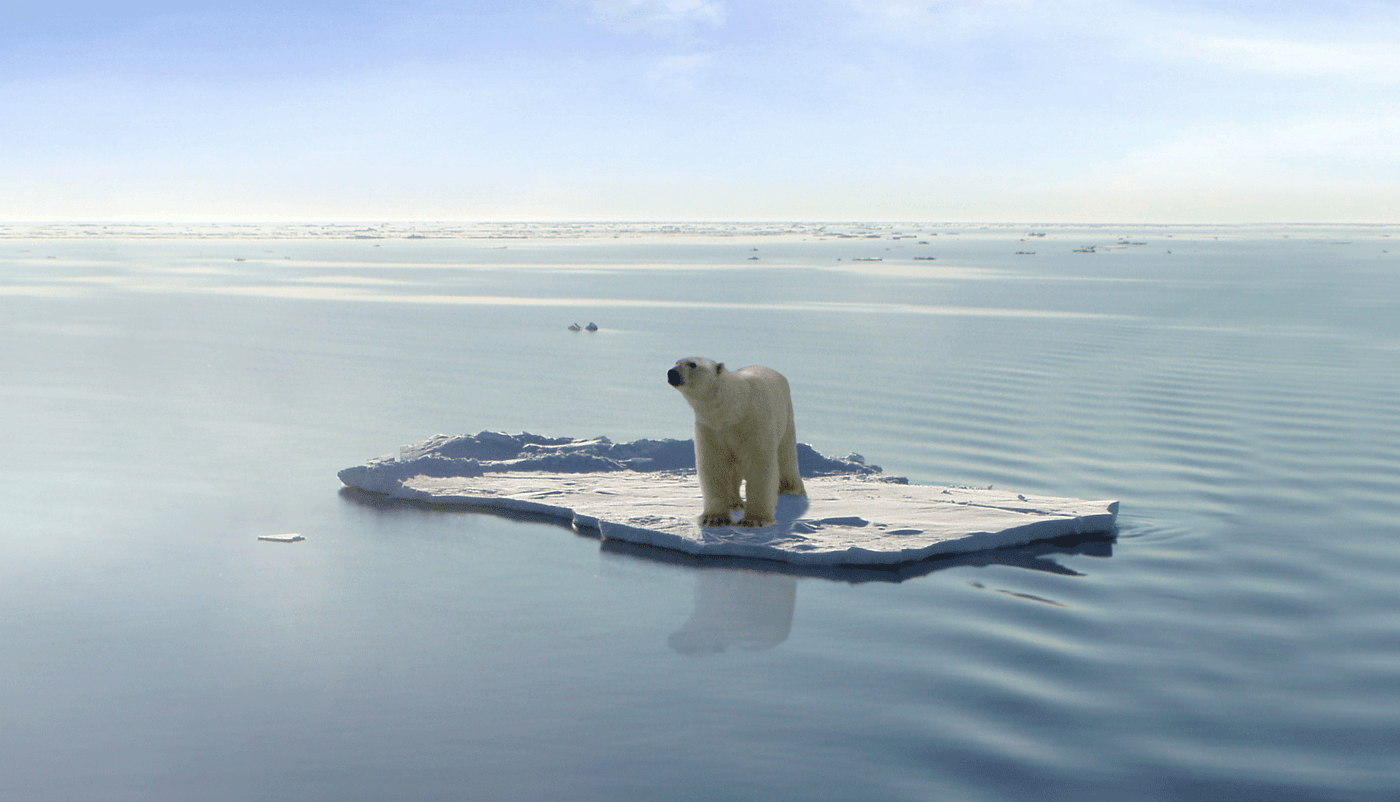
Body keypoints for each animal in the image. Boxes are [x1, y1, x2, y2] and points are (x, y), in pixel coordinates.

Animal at [669, 356, 812, 526]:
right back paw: (734, 502)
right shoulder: (711, 428)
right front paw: (715, 518)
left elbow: (759, 465)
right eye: (676, 362)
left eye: (693, 364)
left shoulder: (754, 423)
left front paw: (754, 520)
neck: (733, 410)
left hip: (786, 416)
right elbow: (714, 465)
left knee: (786, 456)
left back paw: (791, 489)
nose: (672, 373)